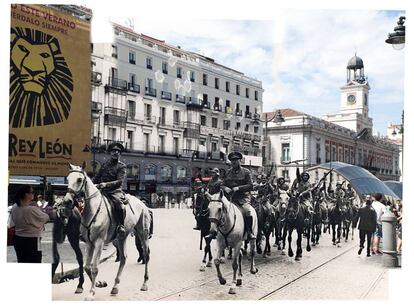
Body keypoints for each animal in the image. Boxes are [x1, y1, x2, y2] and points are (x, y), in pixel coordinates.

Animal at [62, 164, 151, 300]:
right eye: (67, 178)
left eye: (79, 179)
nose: (67, 201)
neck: (93, 210)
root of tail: (142, 202)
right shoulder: (89, 243)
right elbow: (87, 267)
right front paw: (99, 283)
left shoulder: (99, 242)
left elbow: (94, 267)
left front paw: (91, 292)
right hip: (121, 237)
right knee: (123, 258)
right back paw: (115, 287)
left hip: (142, 233)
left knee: (146, 255)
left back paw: (145, 283)